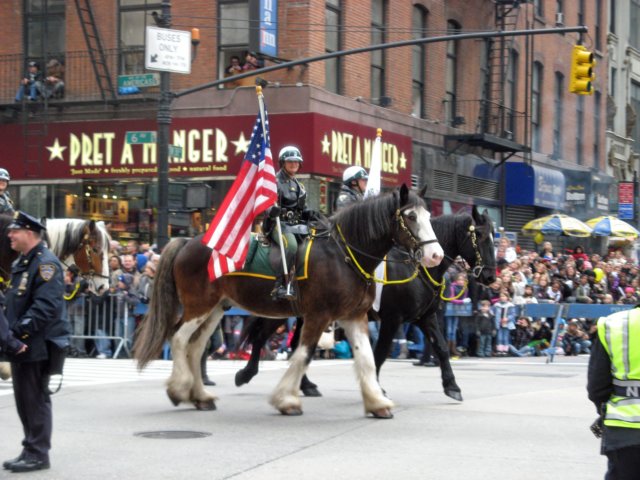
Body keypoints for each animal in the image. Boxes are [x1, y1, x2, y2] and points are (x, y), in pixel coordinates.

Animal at [135, 186, 444, 418]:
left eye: (429, 215)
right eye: (411, 216)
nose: (436, 256)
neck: (345, 255)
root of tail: (187, 241)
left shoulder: (354, 316)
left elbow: (366, 359)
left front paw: (377, 403)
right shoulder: (319, 315)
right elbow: (302, 355)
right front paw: (287, 400)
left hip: (215, 309)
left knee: (196, 347)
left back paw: (200, 396)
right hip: (198, 306)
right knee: (178, 339)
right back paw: (179, 389)